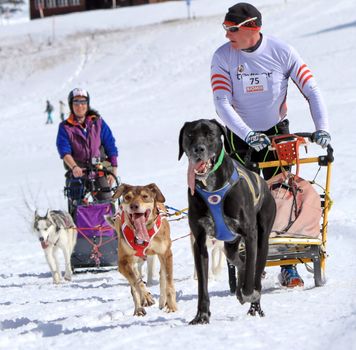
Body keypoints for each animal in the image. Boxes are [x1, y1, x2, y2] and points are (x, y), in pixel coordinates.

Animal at [106, 185, 177, 316]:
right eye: (128, 197)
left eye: (145, 196)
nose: (134, 206)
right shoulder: (123, 262)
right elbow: (137, 282)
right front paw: (146, 296)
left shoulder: (166, 254)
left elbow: (168, 282)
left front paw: (171, 306)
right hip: (133, 262)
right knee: (134, 283)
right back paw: (139, 308)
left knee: (162, 276)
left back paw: (162, 301)